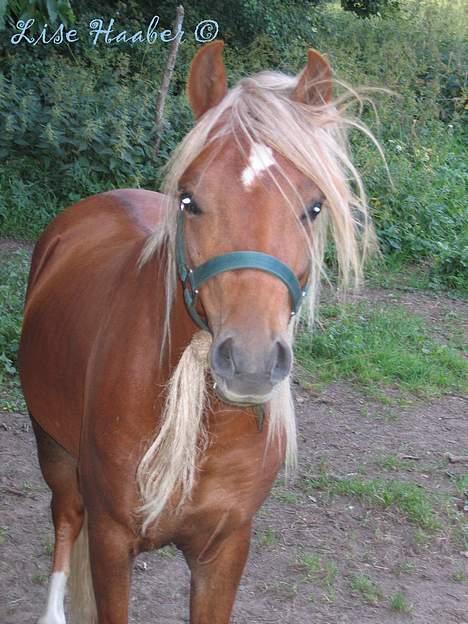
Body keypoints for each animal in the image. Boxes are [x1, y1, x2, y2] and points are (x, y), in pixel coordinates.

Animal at [19, 41, 372, 620]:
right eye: (189, 199)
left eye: (314, 206)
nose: (251, 362)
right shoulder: (113, 540)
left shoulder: (225, 548)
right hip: (53, 445)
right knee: (66, 516)